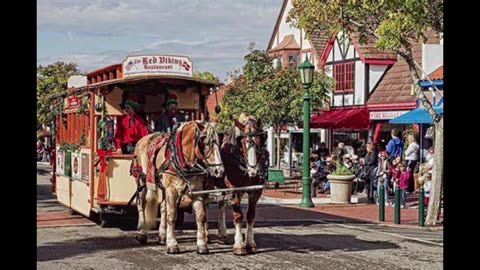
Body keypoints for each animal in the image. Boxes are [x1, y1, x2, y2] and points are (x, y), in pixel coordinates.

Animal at [133, 121, 223, 254]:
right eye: (205, 142)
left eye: (218, 142)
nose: (219, 170)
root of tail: (142, 139)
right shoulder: (172, 190)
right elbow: (172, 215)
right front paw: (172, 244)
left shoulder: (197, 191)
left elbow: (201, 216)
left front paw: (202, 245)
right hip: (141, 180)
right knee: (142, 204)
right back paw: (142, 233)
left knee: (163, 206)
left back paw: (162, 236)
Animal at [211, 113, 270, 256]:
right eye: (242, 143)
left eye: (260, 141)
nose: (253, 171)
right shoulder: (234, 190)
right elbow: (238, 216)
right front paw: (239, 244)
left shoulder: (256, 191)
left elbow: (250, 216)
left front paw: (250, 243)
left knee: (221, 205)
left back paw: (222, 235)